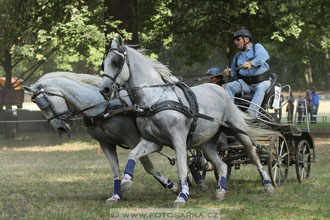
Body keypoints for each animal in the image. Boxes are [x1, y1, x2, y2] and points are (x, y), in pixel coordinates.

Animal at [22, 72, 180, 205]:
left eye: (46, 104)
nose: (60, 128)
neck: (102, 107)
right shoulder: (105, 143)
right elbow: (115, 170)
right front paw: (116, 195)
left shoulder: (133, 138)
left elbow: (148, 166)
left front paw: (172, 186)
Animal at [99, 35, 278, 205]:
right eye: (103, 64)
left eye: (115, 62)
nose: (104, 90)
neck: (156, 99)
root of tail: (221, 91)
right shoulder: (153, 141)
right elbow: (134, 154)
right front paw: (125, 182)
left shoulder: (178, 139)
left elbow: (182, 168)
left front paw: (182, 195)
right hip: (206, 142)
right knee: (222, 165)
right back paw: (221, 191)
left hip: (238, 131)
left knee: (253, 155)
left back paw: (268, 185)